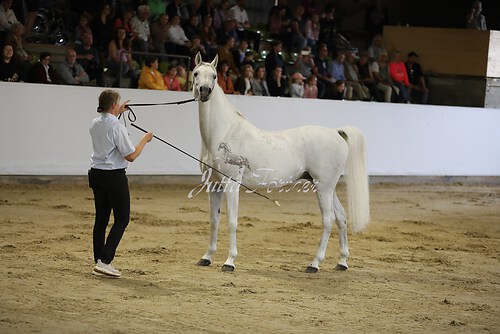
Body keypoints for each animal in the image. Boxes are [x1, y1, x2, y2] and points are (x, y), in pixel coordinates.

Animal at [193, 52, 370, 272]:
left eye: (214, 76)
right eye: (196, 73)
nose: (205, 91)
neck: (225, 132)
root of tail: (336, 132)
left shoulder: (231, 184)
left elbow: (232, 222)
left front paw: (229, 261)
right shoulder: (214, 185)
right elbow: (214, 220)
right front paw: (207, 257)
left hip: (324, 187)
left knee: (328, 220)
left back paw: (314, 264)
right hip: (327, 187)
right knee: (341, 217)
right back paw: (342, 262)